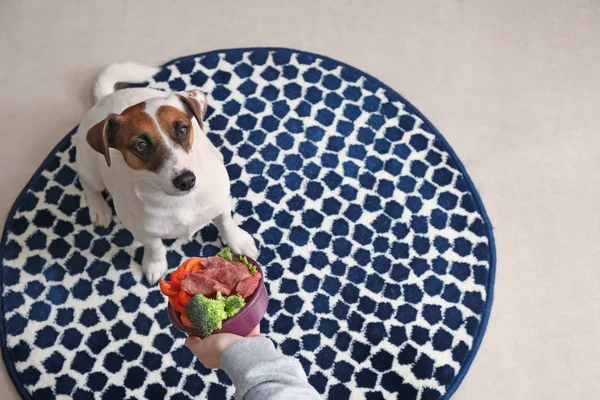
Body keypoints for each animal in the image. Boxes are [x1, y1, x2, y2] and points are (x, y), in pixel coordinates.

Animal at [75, 62, 258, 284]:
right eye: (141, 145)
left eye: (183, 130)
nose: (186, 180)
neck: (180, 200)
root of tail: (106, 97)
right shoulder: (141, 229)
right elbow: (154, 246)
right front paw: (155, 264)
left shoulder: (218, 204)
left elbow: (226, 222)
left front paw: (237, 241)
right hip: (91, 171)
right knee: (89, 186)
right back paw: (99, 209)